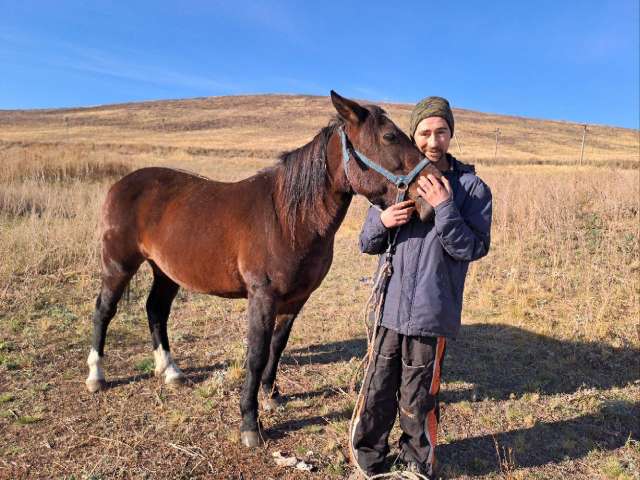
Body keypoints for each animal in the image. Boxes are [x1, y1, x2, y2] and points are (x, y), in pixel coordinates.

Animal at [84, 91, 441, 447]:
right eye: (389, 136)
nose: (431, 195)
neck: (287, 217)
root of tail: (121, 184)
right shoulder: (262, 297)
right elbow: (255, 355)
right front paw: (250, 423)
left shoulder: (295, 300)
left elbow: (277, 346)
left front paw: (271, 395)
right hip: (118, 264)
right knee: (104, 310)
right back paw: (96, 375)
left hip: (166, 272)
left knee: (156, 310)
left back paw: (170, 371)